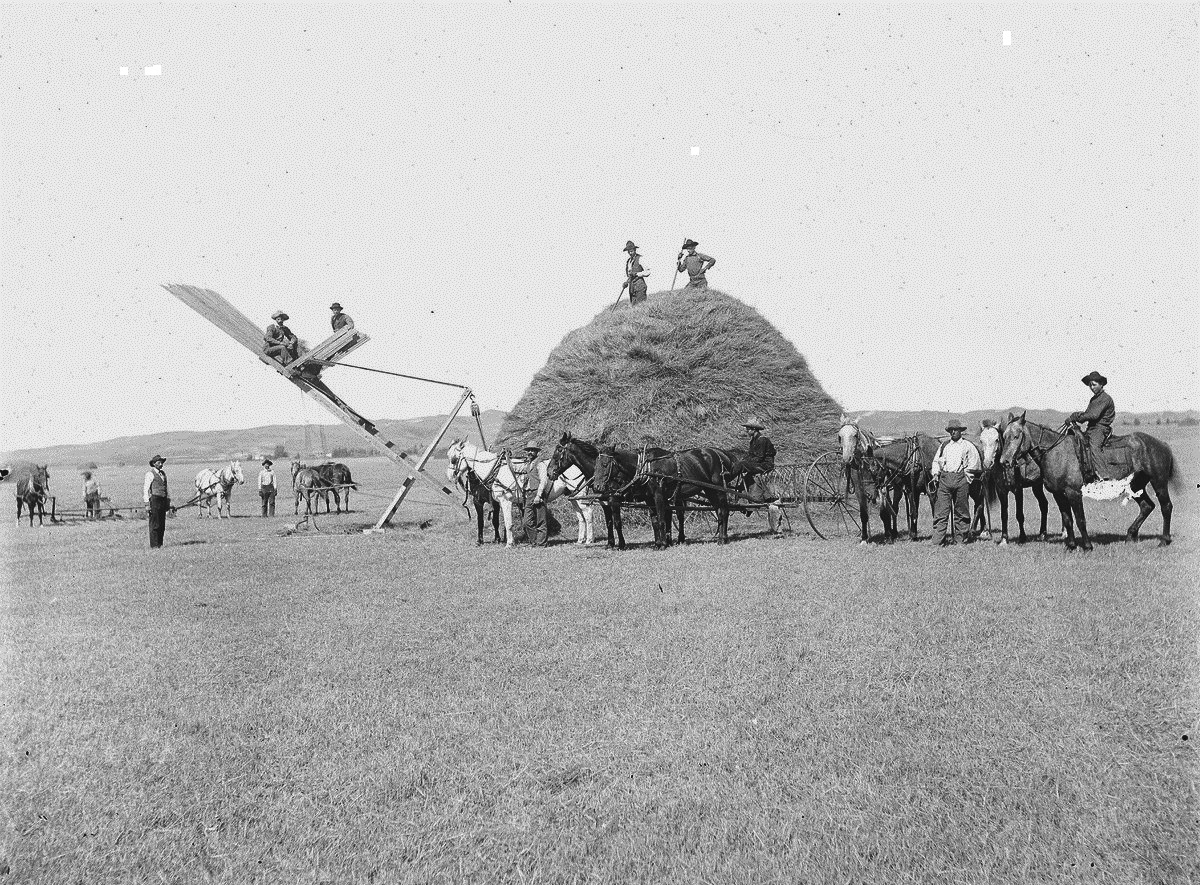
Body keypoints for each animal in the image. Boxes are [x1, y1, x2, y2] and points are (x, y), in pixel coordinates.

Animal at [448, 436, 597, 542]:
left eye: (454, 459)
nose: (450, 476)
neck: (496, 471)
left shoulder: (505, 501)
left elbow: (508, 523)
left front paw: (509, 543)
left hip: (581, 495)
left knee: (588, 513)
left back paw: (589, 540)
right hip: (573, 496)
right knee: (581, 516)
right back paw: (580, 540)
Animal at [998, 410, 1176, 549]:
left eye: (1016, 436)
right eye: (1004, 436)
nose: (1004, 462)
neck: (1056, 452)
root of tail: (1161, 444)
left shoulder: (1074, 493)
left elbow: (1080, 519)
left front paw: (1087, 546)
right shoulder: (1058, 494)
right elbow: (1067, 519)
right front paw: (1071, 546)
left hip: (1159, 482)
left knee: (1166, 506)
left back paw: (1164, 541)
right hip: (1136, 486)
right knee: (1147, 506)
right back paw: (1130, 536)